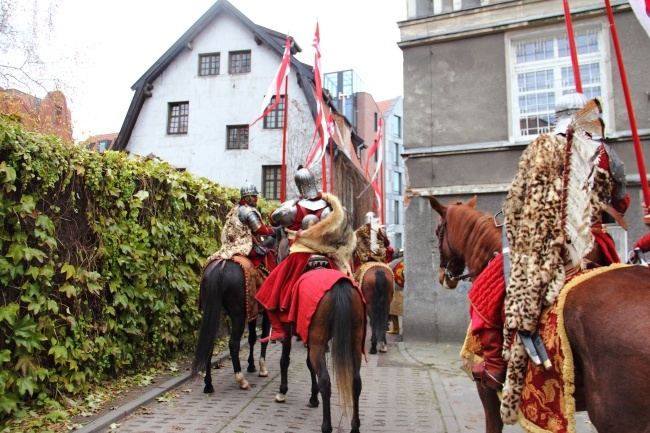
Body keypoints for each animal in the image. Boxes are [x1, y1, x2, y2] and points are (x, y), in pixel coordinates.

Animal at [187, 231, 278, 394]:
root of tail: (220, 267)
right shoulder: (265, 313)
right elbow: (263, 337)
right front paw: (262, 369)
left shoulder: (252, 312)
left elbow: (252, 338)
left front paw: (251, 365)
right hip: (238, 316)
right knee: (234, 344)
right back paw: (241, 380)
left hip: (213, 313)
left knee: (210, 344)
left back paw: (208, 384)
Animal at [272, 266, 364, 432]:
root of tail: (339, 286)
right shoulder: (309, 339)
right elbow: (309, 365)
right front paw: (313, 398)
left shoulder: (288, 331)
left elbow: (284, 361)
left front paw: (282, 391)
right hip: (354, 340)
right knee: (356, 381)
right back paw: (355, 427)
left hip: (318, 341)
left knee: (325, 381)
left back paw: (326, 426)